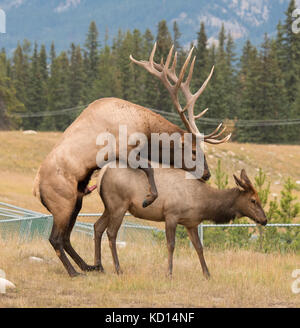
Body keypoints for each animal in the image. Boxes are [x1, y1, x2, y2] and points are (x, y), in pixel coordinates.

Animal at [32, 42, 230, 276]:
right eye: (192, 151)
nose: (207, 174)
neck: (146, 129)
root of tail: (36, 187)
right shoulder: (124, 148)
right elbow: (149, 169)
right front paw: (148, 198)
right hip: (63, 202)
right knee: (55, 238)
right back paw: (74, 272)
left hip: (77, 200)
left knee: (66, 237)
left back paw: (90, 265)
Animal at [94, 167, 268, 280]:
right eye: (253, 200)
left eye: (259, 198)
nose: (264, 220)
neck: (203, 203)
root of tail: (101, 175)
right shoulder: (171, 215)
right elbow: (171, 245)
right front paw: (169, 273)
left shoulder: (191, 223)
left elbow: (199, 247)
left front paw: (207, 274)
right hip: (119, 205)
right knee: (111, 233)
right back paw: (118, 269)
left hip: (109, 208)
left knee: (97, 227)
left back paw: (98, 267)